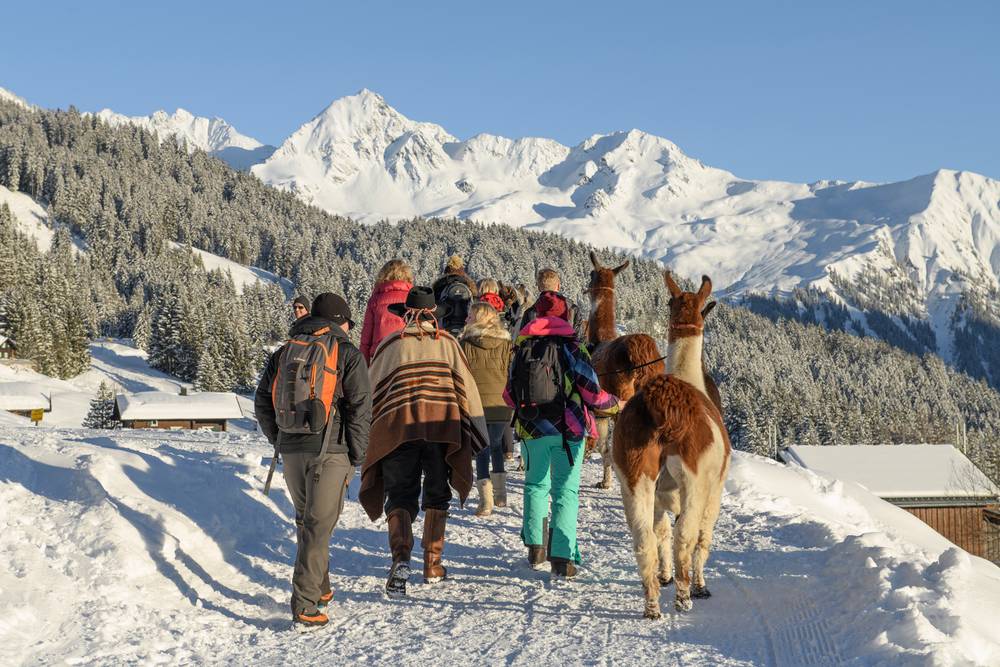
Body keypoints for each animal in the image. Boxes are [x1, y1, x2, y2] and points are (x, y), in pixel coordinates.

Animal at [612, 271, 731, 619]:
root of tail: (662, 405)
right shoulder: (714, 487)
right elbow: (702, 536)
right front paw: (700, 585)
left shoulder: (659, 493)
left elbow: (660, 532)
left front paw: (664, 576)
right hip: (694, 478)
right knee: (686, 536)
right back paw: (684, 597)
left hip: (634, 473)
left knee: (644, 539)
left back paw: (652, 605)